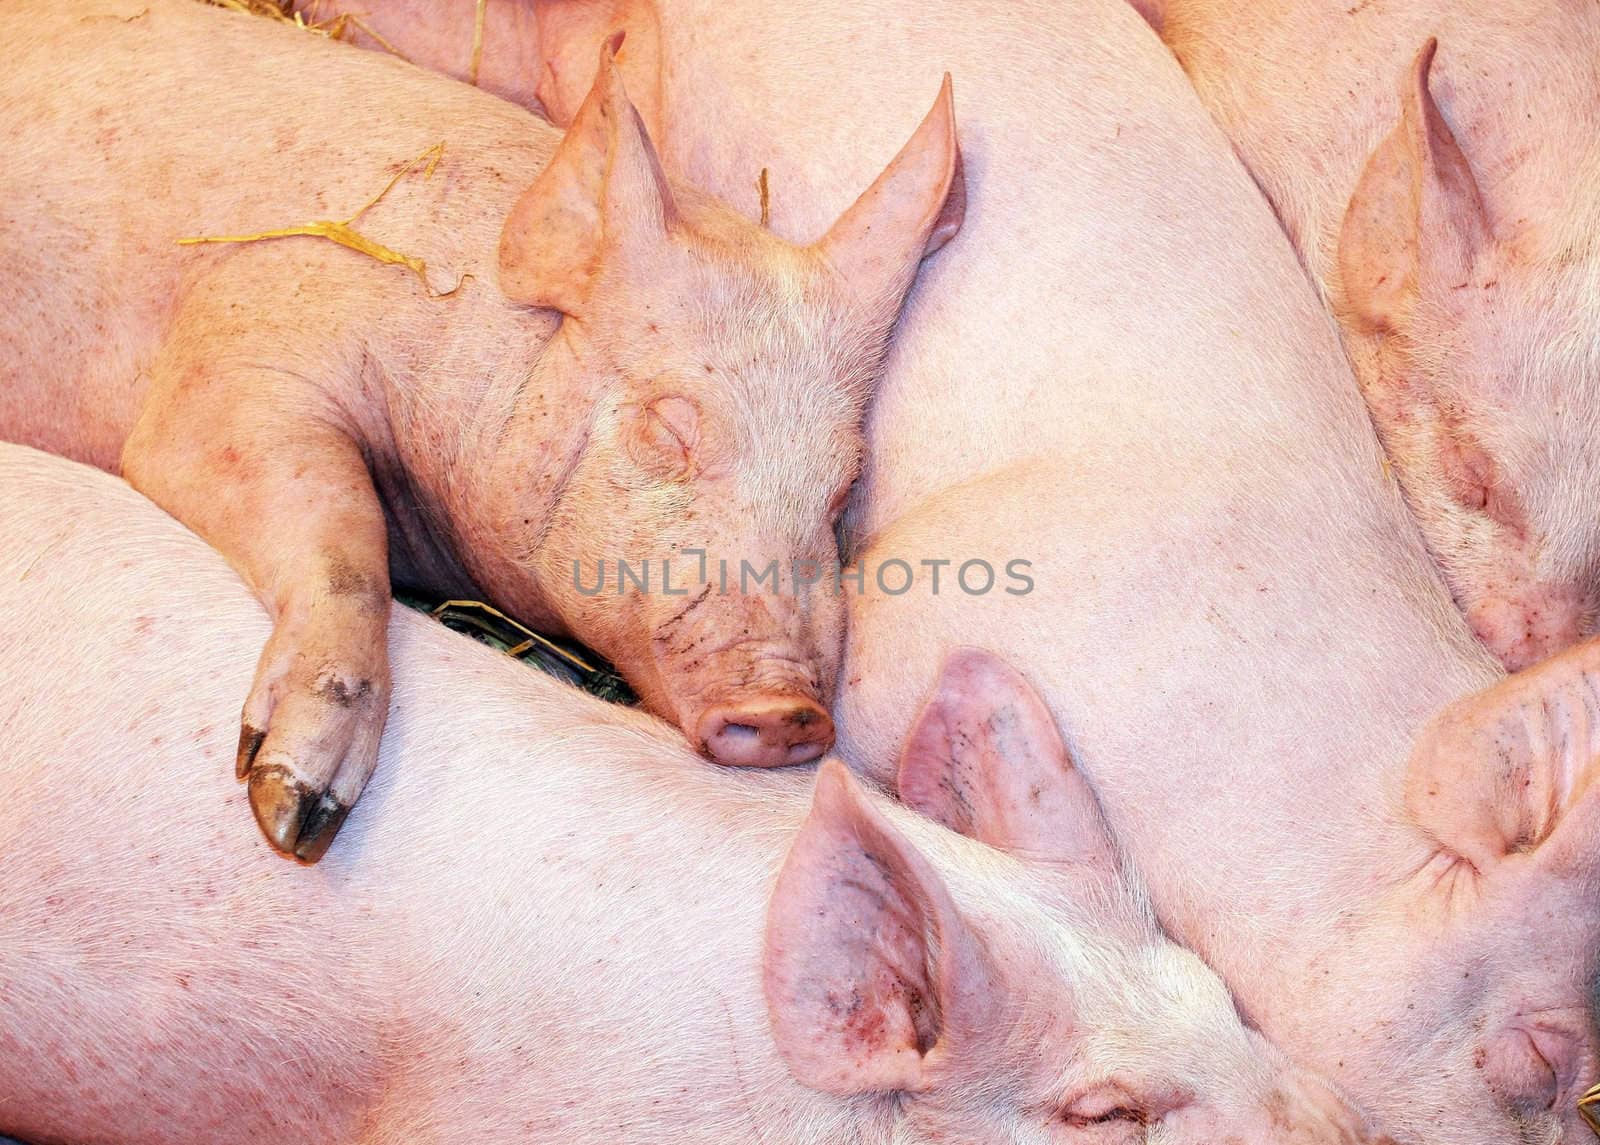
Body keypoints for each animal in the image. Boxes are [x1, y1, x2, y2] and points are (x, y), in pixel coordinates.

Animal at [0, 0, 960, 857]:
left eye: (839, 487)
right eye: (668, 425)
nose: (791, 711)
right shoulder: (238, 351)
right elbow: (340, 531)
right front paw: (294, 812)